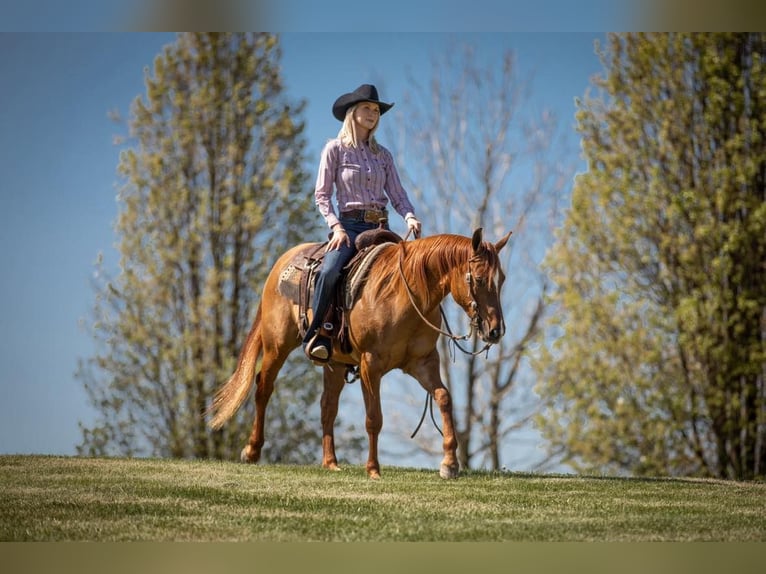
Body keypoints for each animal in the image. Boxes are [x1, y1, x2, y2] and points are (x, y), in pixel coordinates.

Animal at [207, 227, 512, 480]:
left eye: (502, 280)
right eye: (480, 279)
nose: (496, 331)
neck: (405, 294)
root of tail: (281, 265)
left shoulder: (423, 363)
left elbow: (444, 398)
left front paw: (449, 464)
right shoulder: (370, 365)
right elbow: (374, 418)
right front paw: (373, 469)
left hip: (333, 364)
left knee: (327, 406)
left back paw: (331, 462)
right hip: (276, 345)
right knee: (263, 388)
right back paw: (252, 451)